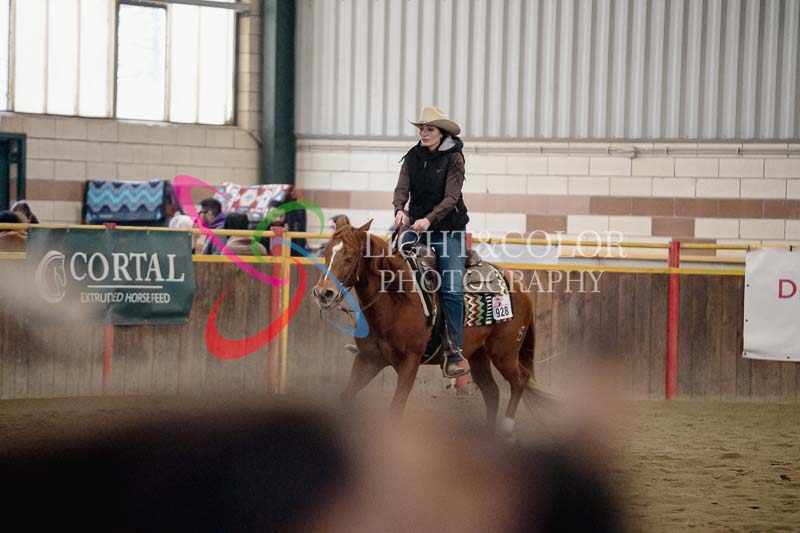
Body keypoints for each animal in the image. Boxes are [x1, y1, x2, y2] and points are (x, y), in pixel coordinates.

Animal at [312, 219, 547, 438]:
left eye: (350, 256)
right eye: (326, 251)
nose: (324, 293)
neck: (396, 297)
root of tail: (517, 284)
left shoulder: (410, 361)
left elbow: (395, 409)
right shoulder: (369, 359)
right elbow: (346, 397)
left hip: (504, 352)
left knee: (520, 379)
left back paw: (507, 429)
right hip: (478, 355)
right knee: (492, 392)